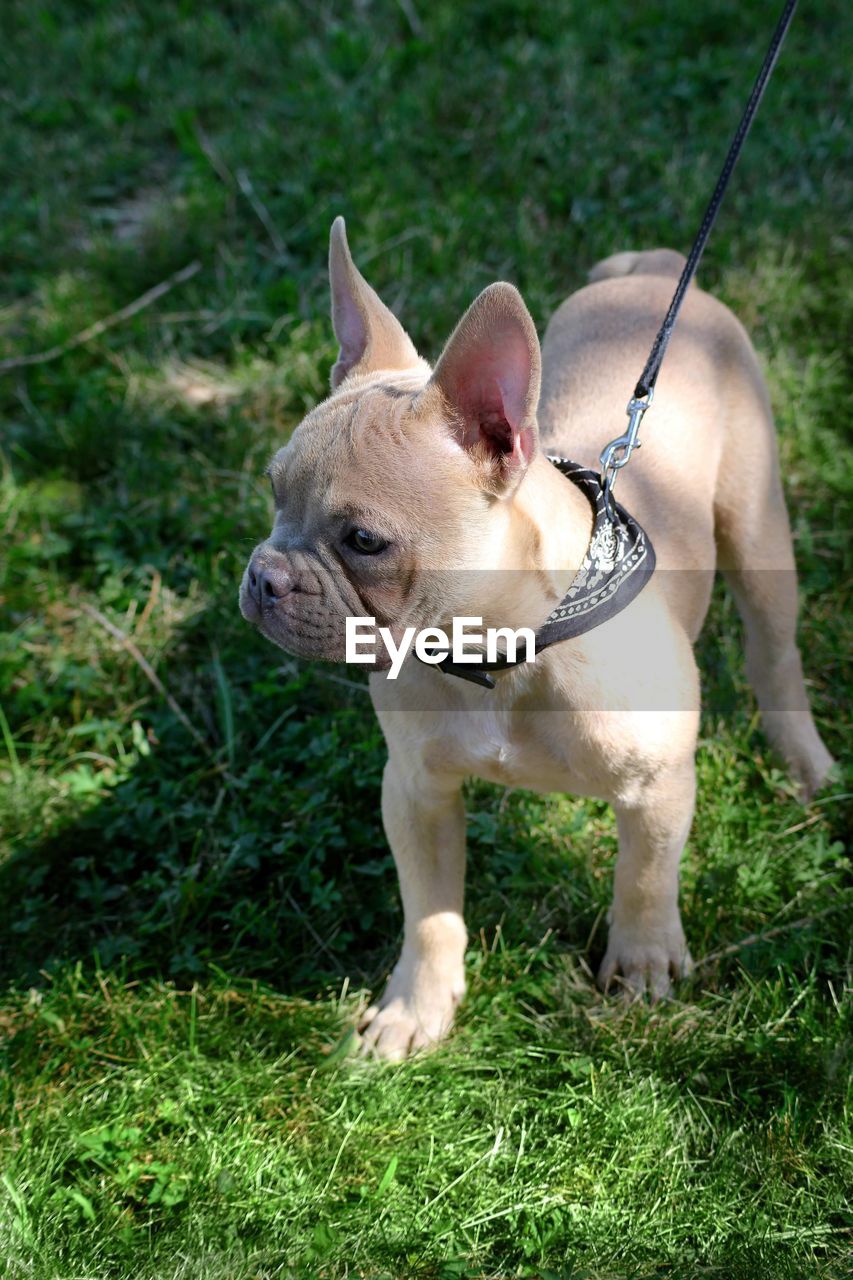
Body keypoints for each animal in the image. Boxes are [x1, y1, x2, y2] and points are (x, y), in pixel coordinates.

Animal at [239, 220, 829, 1059]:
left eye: (363, 541)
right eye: (272, 491)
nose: (265, 576)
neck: (502, 651)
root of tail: (653, 270)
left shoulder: (657, 789)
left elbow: (643, 880)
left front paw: (642, 965)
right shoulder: (415, 791)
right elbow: (429, 915)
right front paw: (415, 1008)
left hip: (756, 529)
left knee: (773, 653)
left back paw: (805, 761)